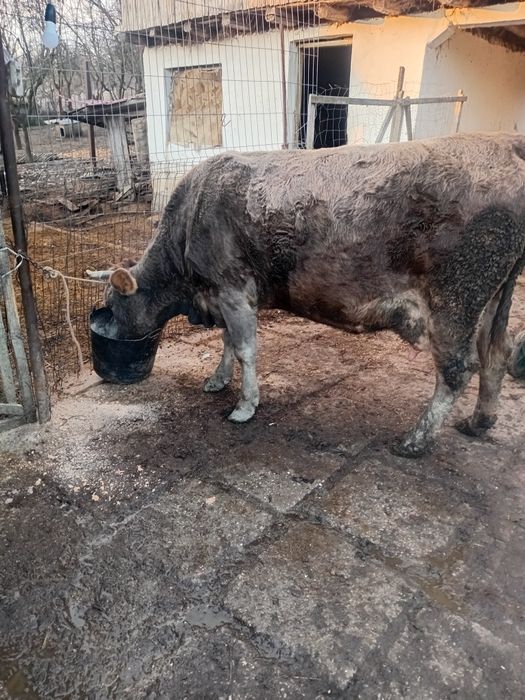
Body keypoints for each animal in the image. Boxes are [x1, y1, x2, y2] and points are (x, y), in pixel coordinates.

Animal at [87, 133, 525, 457]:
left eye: (113, 305)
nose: (109, 332)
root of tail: (506, 146)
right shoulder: (224, 294)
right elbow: (227, 342)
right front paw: (217, 380)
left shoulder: (233, 287)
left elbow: (244, 348)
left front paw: (245, 406)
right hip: (491, 301)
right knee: (496, 353)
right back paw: (478, 422)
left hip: (456, 300)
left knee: (459, 368)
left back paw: (416, 441)